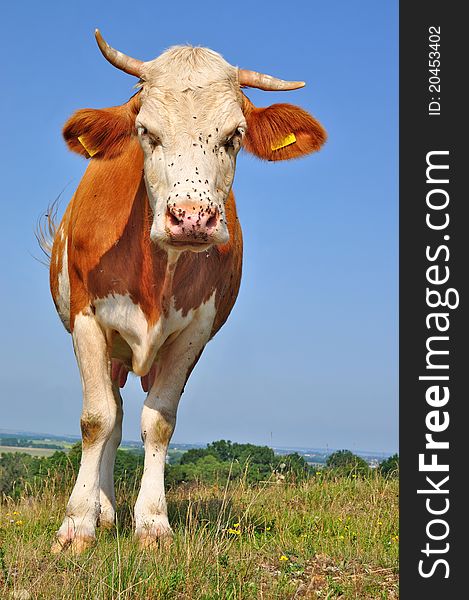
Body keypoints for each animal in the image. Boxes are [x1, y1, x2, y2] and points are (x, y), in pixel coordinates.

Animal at [46, 29, 326, 552]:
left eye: (234, 136)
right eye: (146, 131)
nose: (192, 217)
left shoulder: (195, 331)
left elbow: (158, 422)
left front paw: (152, 523)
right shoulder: (86, 320)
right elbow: (96, 420)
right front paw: (77, 524)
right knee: (112, 416)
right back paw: (102, 509)